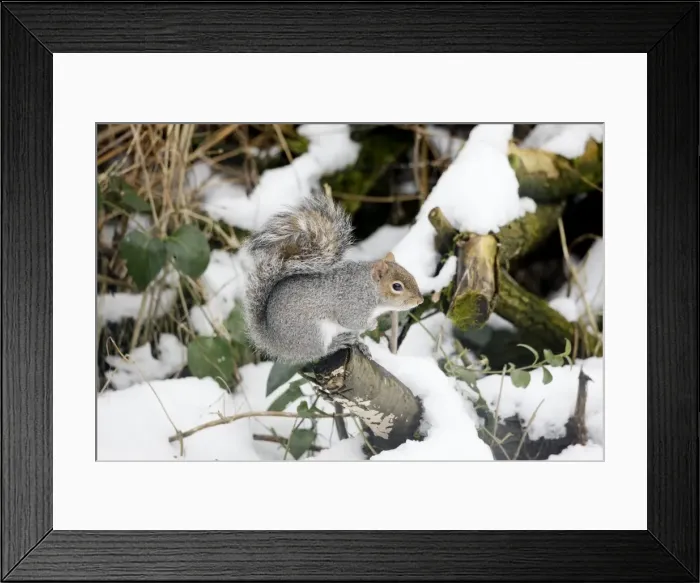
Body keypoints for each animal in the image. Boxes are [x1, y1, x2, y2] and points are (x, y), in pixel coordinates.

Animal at [242, 187, 424, 365]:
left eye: (412, 276)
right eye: (397, 286)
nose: (419, 301)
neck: (368, 289)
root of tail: (274, 341)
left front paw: (364, 340)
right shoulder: (352, 307)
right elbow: (352, 321)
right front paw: (372, 324)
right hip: (312, 333)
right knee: (318, 352)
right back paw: (336, 344)